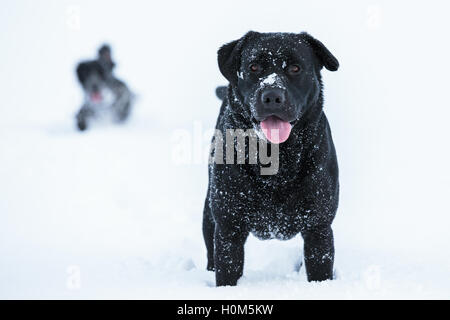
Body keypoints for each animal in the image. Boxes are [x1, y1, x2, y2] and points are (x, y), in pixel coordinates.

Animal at [202, 31, 340, 288]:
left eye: (295, 68)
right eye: (254, 67)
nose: (272, 95)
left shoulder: (319, 228)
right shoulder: (228, 227)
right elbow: (226, 272)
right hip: (209, 213)